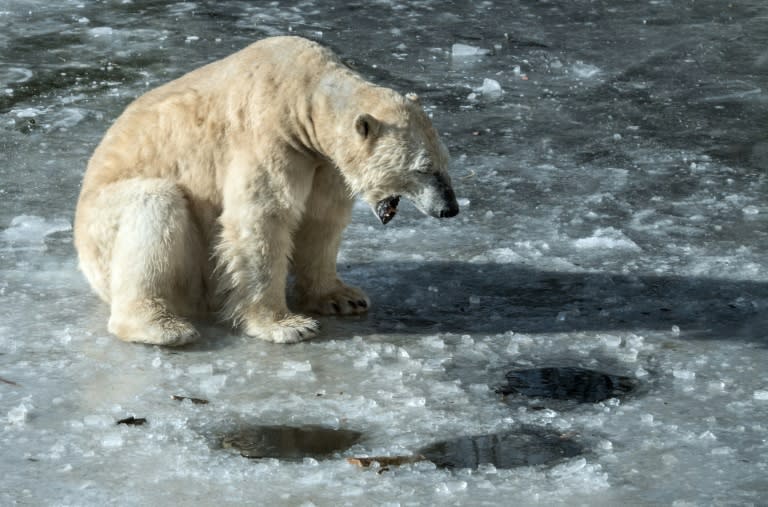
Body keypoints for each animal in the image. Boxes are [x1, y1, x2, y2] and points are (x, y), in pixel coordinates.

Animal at [73, 34, 456, 346]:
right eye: (423, 168)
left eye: (446, 162)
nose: (449, 209)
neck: (303, 94)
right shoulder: (269, 139)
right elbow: (261, 221)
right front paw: (288, 325)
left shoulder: (322, 164)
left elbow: (321, 220)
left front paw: (343, 297)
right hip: (102, 228)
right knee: (155, 205)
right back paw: (162, 327)